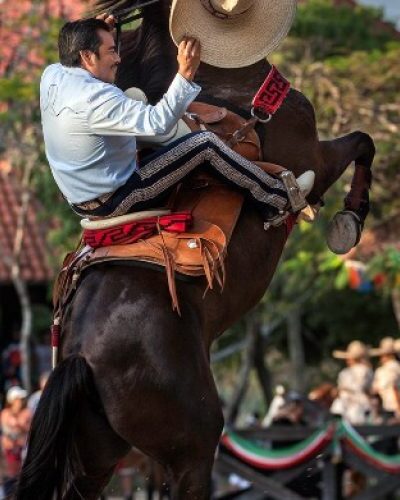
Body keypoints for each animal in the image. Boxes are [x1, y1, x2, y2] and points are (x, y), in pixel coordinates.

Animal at [13, 1, 376, 498]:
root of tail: (80, 356)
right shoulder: (316, 160)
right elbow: (361, 142)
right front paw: (348, 220)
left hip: (95, 454)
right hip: (193, 447)